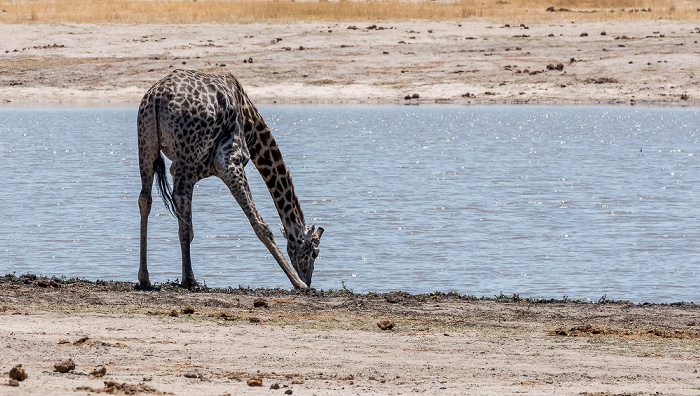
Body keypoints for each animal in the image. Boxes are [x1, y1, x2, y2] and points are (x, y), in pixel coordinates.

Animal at [137, 69, 326, 290]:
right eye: (315, 253)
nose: (308, 279)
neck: (251, 122)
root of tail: (157, 96)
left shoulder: (187, 167)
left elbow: (188, 226)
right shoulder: (229, 160)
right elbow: (260, 224)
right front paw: (298, 283)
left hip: (147, 144)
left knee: (145, 199)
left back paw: (145, 277)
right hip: (186, 151)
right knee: (179, 196)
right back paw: (189, 279)